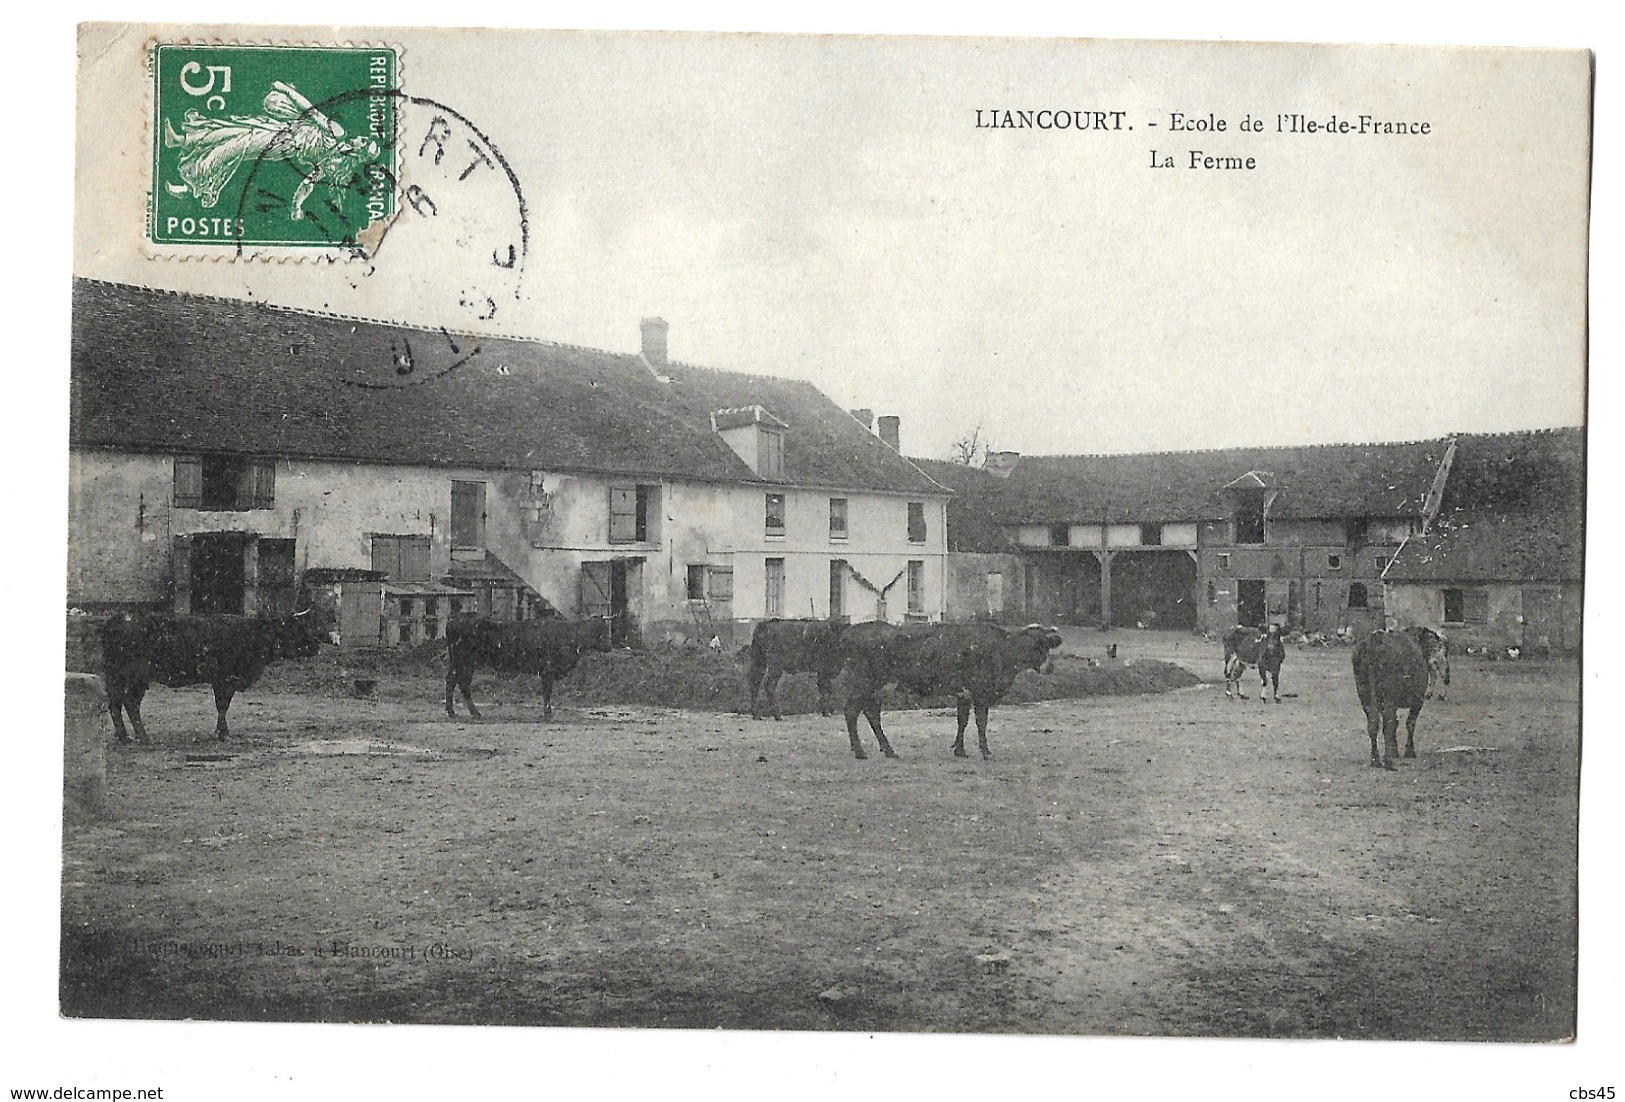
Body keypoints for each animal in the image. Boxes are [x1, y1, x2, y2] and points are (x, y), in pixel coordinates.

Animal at [99, 614, 326, 741]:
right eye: (297, 628)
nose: (317, 644)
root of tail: (115, 620)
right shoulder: (224, 680)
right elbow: (222, 706)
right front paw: (223, 733)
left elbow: (222, 707)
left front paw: (220, 731)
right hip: (133, 676)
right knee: (127, 703)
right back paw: (140, 736)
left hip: (124, 678)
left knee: (119, 704)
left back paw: (126, 736)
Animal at [442, 614, 611, 724]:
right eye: (601, 631)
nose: (610, 647)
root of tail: (454, 620)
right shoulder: (547, 671)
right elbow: (547, 693)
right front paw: (548, 714)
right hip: (463, 662)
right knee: (458, 683)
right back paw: (463, 712)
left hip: (464, 664)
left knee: (457, 682)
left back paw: (460, 712)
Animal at [838, 627, 1066, 763]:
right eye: (1039, 645)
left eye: (1046, 645)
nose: (1051, 667)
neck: (1002, 650)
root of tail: (853, 631)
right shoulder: (981, 692)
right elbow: (981, 722)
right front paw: (986, 752)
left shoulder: (963, 694)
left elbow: (962, 721)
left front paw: (960, 749)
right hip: (864, 683)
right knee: (851, 712)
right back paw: (860, 751)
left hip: (876, 689)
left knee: (871, 714)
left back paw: (888, 750)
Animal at [1352, 627, 1430, 773]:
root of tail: (1374, 641)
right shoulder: (1418, 700)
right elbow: (1409, 723)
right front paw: (1409, 752)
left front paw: (1394, 751)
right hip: (1389, 696)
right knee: (1388, 724)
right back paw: (1388, 762)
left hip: (1364, 694)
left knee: (1373, 724)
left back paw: (1376, 760)